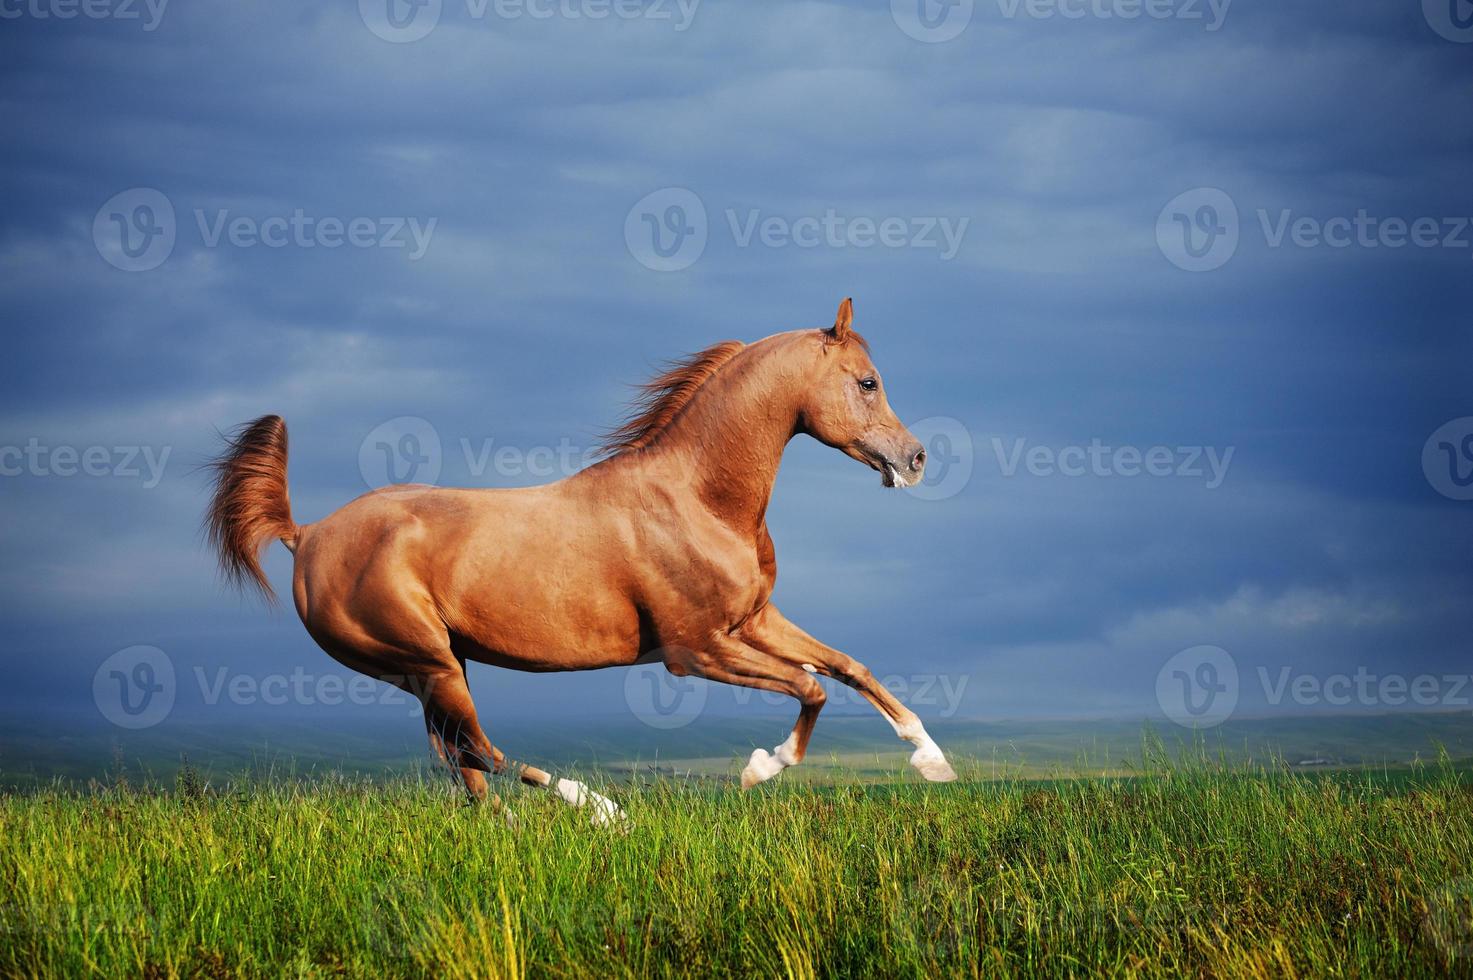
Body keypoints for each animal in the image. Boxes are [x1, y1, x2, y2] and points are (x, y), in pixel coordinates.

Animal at [213, 297, 960, 819]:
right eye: (867, 382)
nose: (916, 459)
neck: (698, 499)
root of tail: (307, 534)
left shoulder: (753, 621)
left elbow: (847, 667)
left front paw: (932, 761)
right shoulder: (696, 651)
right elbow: (810, 686)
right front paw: (759, 768)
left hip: (435, 669)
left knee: (466, 767)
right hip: (424, 662)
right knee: (479, 750)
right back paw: (599, 808)